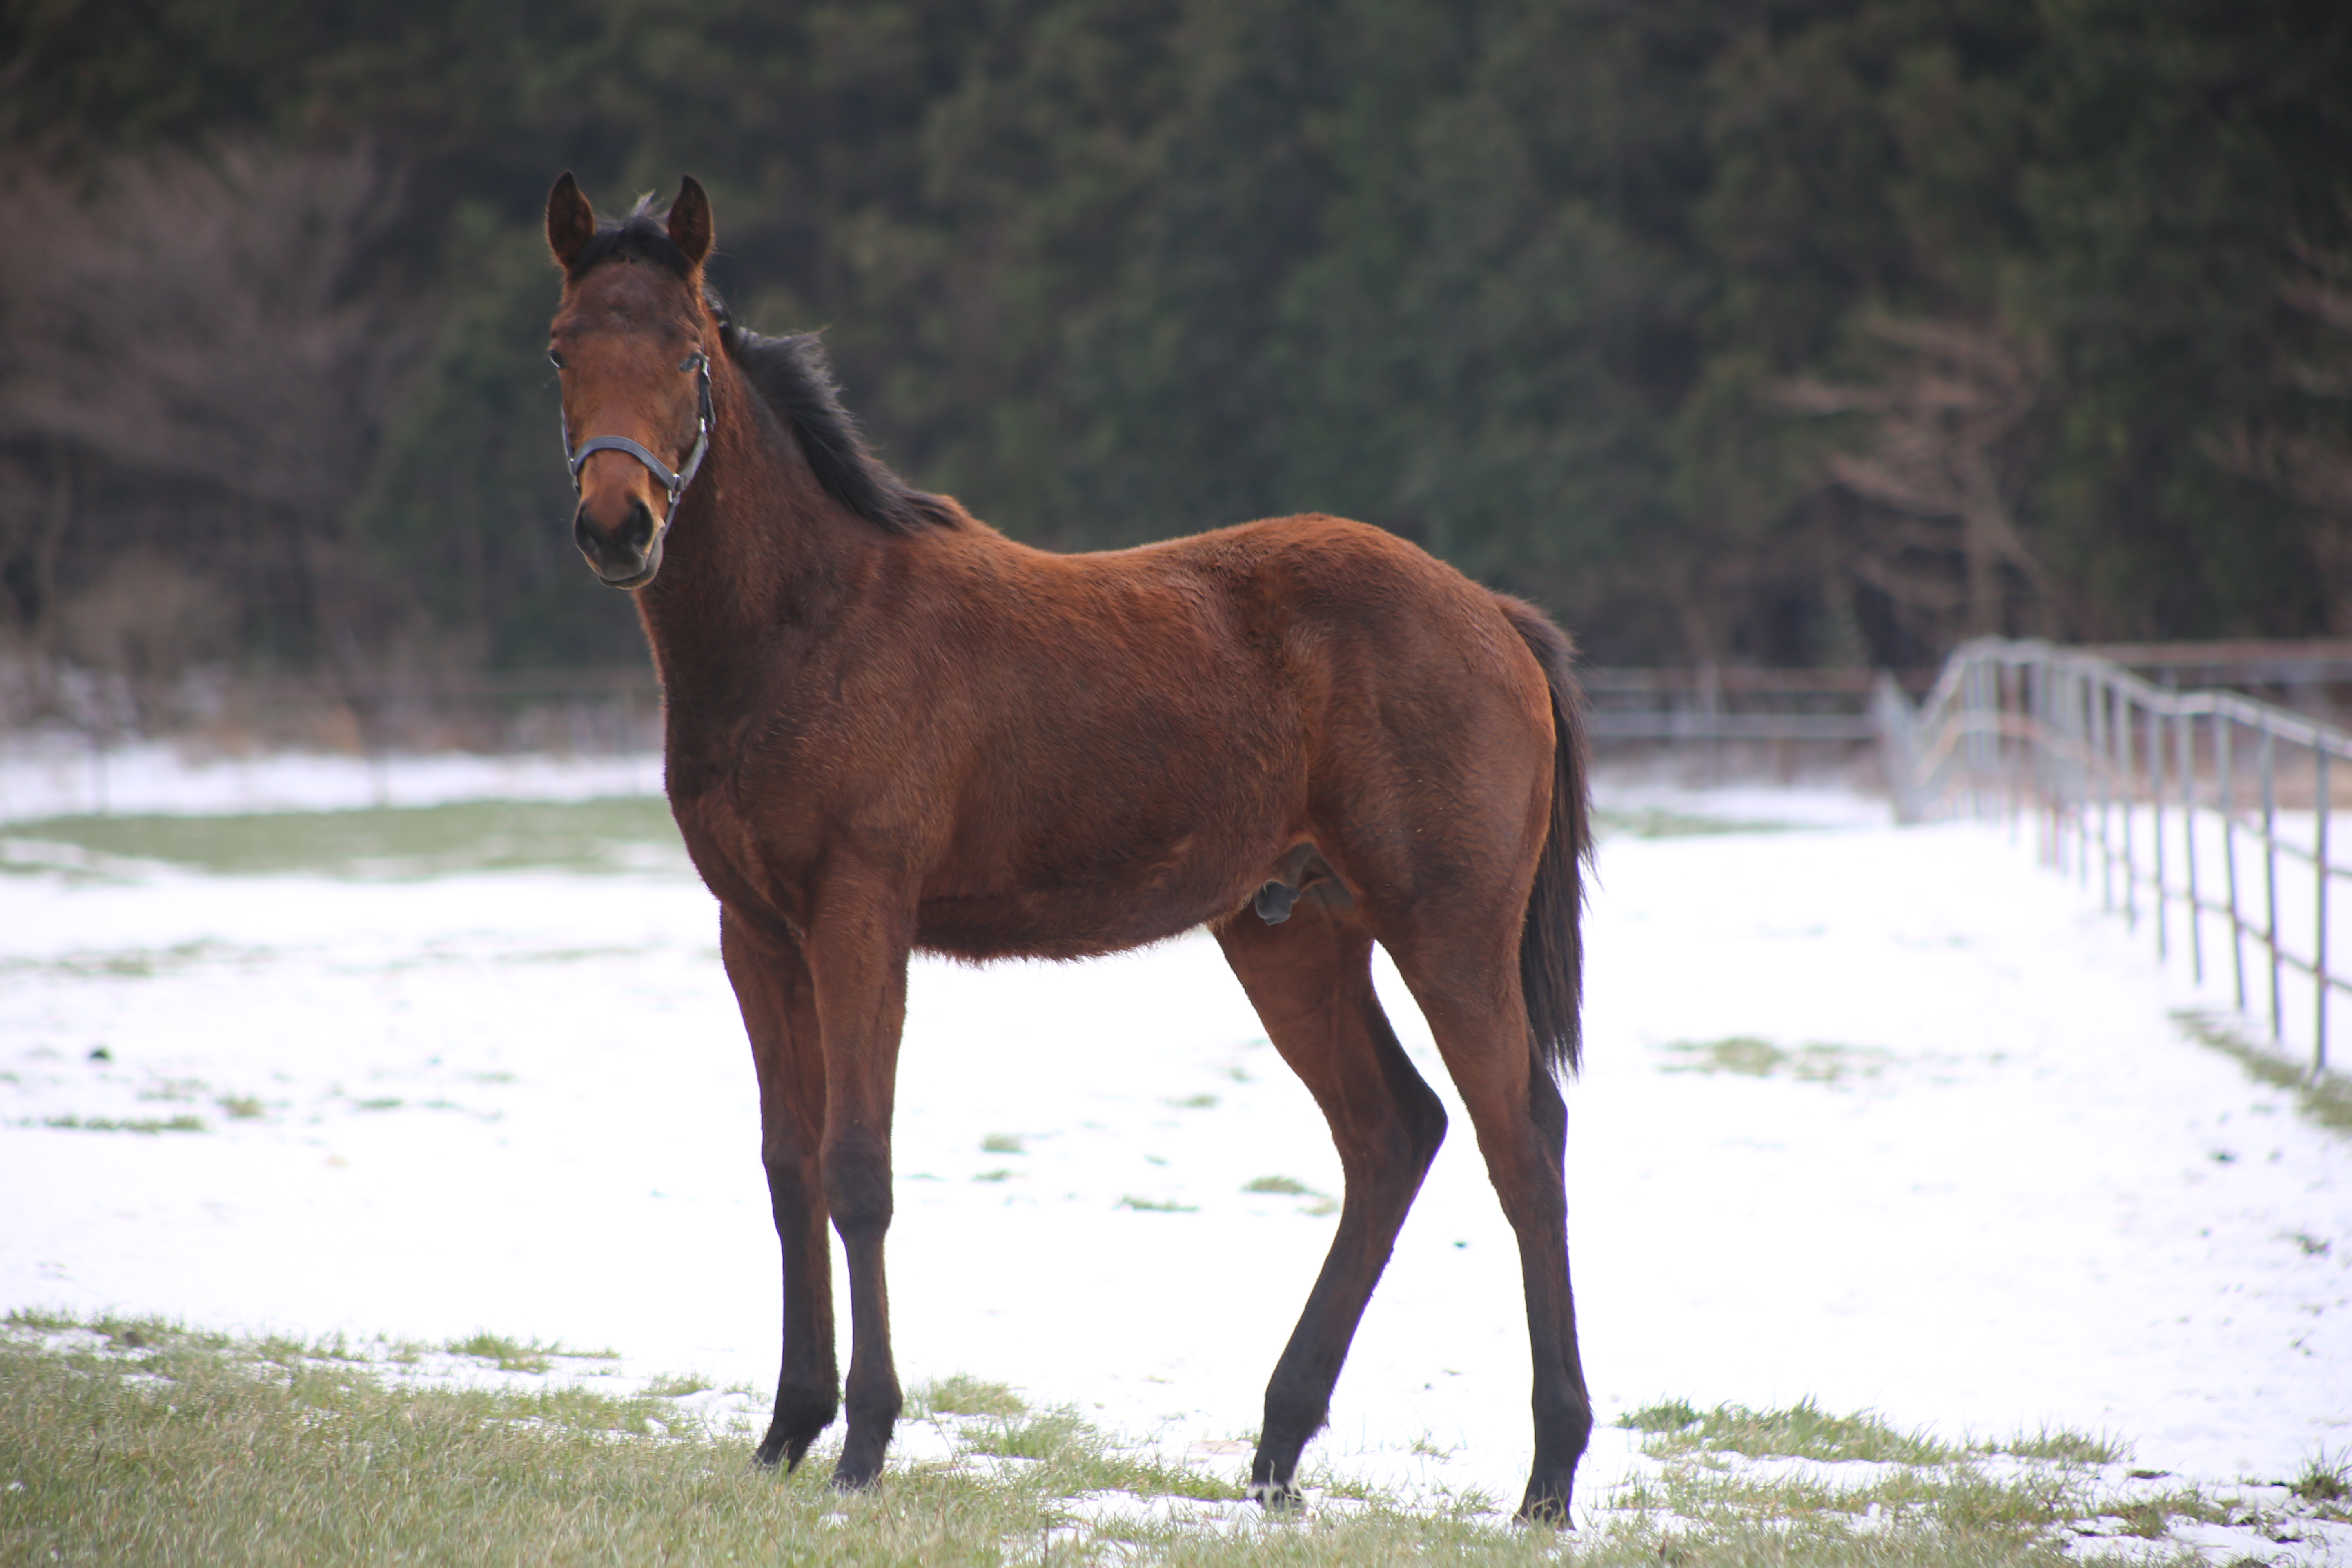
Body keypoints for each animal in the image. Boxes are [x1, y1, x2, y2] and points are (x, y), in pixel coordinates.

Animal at [539, 169, 1599, 1523]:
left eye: (686, 352)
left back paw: (1548, 1475)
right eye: (562, 348)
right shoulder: (757, 932)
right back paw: (1276, 1451)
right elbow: (787, 1168)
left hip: (1448, 930)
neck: (810, 624)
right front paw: (786, 1430)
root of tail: (1499, 617)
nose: (618, 527)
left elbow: (858, 1165)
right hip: (1295, 934)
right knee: (1393, 1133)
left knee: (1523, 1139)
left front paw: (865, 1443)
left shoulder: (861, 917)